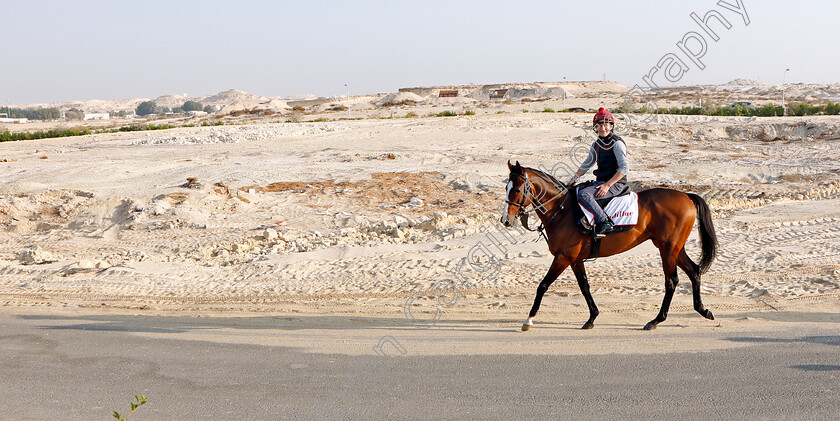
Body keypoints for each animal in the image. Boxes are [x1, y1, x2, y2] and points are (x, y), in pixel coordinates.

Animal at [502, 161, 720, 332]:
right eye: (506, 188)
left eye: (517, 190)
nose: (505, 220)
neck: (562, 210)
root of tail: (686, 196)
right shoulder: (575, 260)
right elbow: (584, 286)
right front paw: (592, 317)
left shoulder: (563, 257)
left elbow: (543, 285)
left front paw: (529, 319)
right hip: (673, 247)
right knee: (694, 271)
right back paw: (702, 310)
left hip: (668, 249)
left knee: (671, 281)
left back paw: (656, 320)